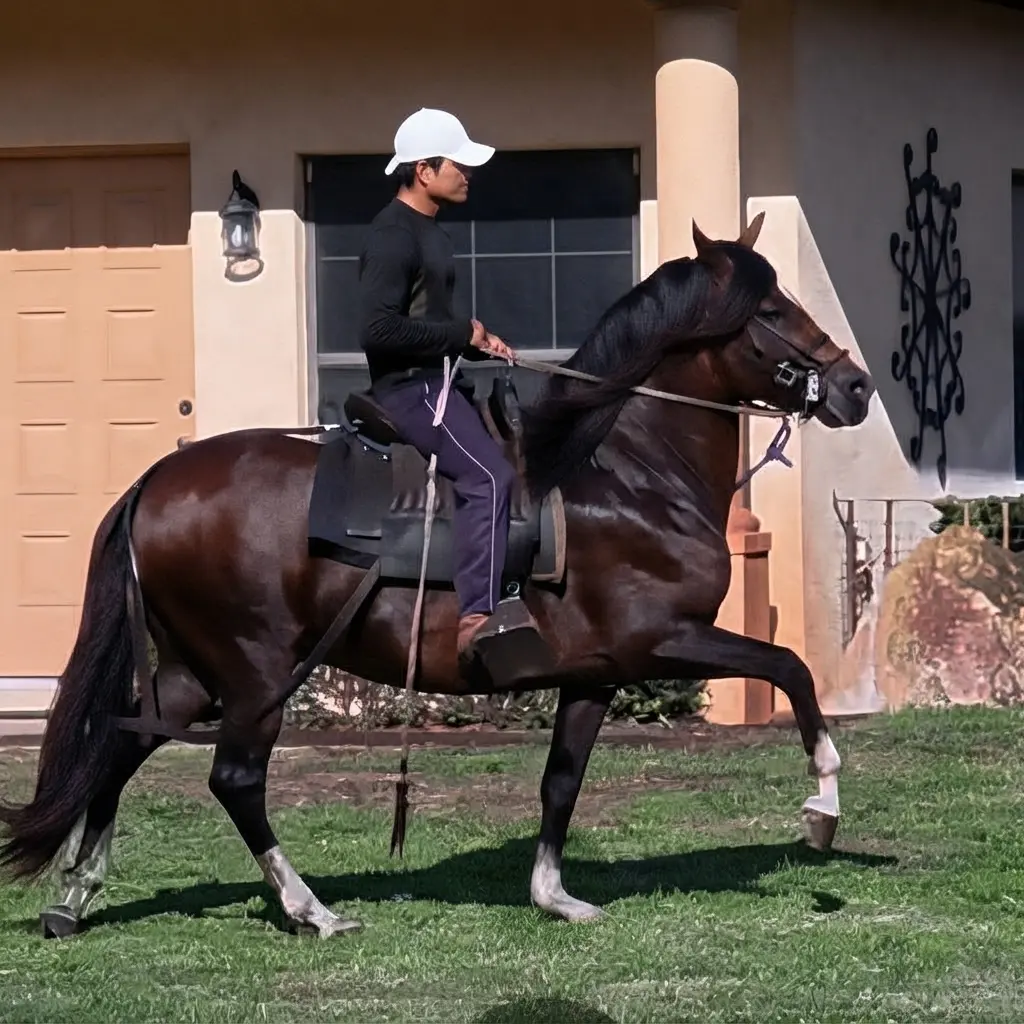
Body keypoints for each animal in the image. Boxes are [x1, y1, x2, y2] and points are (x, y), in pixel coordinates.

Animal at [0, 215, 875, 939]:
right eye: (772, 311)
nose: (856, 386)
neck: (626, 473)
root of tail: (157, 481)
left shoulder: (595, 675)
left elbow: (562, 781)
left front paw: (554, 896)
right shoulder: (664, 642)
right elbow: (791, 669)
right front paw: (822, 806)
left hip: (194, 672)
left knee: (121, 748)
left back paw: (75, 898)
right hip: (256, 675)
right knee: (235, 779)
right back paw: (311, 910)